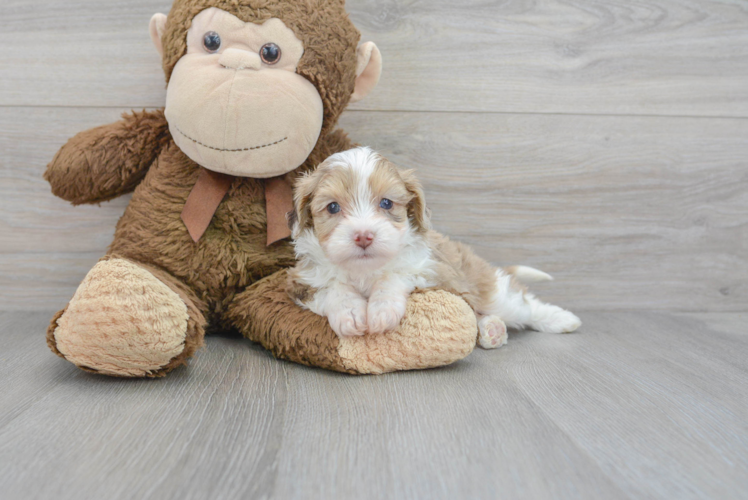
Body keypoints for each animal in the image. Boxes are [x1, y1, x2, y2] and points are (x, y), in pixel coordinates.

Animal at [284, 145, 580, 348]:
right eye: (333, 207)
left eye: (386, 203)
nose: (364, 236)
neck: (365, 271)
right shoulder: (301, 281)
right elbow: (332, 287)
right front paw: (350, 313)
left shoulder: (432, 270)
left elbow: (394, 275)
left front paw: (381, 310)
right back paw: (492, 330)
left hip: (491, 291)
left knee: (523, 304)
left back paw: (560, 319)